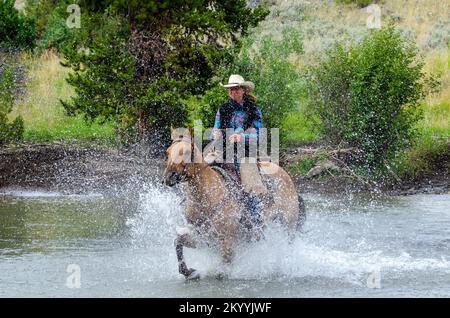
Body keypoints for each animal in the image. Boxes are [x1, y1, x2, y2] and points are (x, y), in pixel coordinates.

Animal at [163, 128, 306, 280]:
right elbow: (178, 241)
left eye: (186, 152)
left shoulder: (227, 242)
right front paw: (189, 272)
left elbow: (222, 270)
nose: (168, 177)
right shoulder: (203, 239)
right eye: (167, 152)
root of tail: (286, 176)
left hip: (288, 226)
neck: (206, 197)